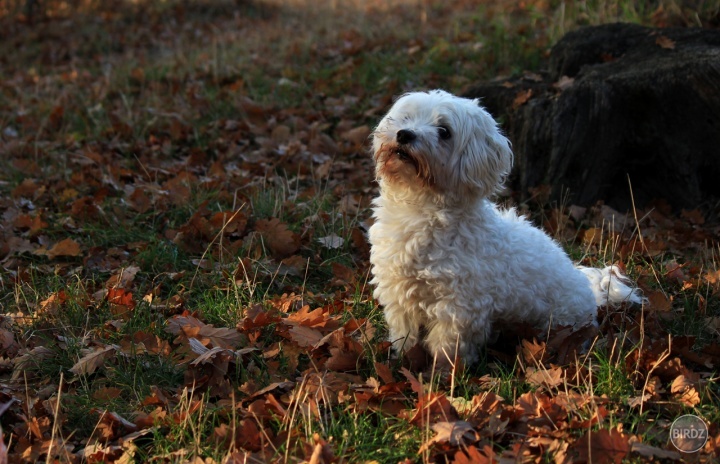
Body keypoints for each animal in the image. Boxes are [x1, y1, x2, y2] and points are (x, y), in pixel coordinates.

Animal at [368, 89, 644, 366]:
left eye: (444, 131)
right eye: (406, 117)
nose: (405, 134)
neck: (420, 207)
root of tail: (589, 293)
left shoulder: (459, 306)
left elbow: (446, 345)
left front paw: (444, 371)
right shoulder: (398, 291)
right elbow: (405, 333)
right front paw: (404, 358)